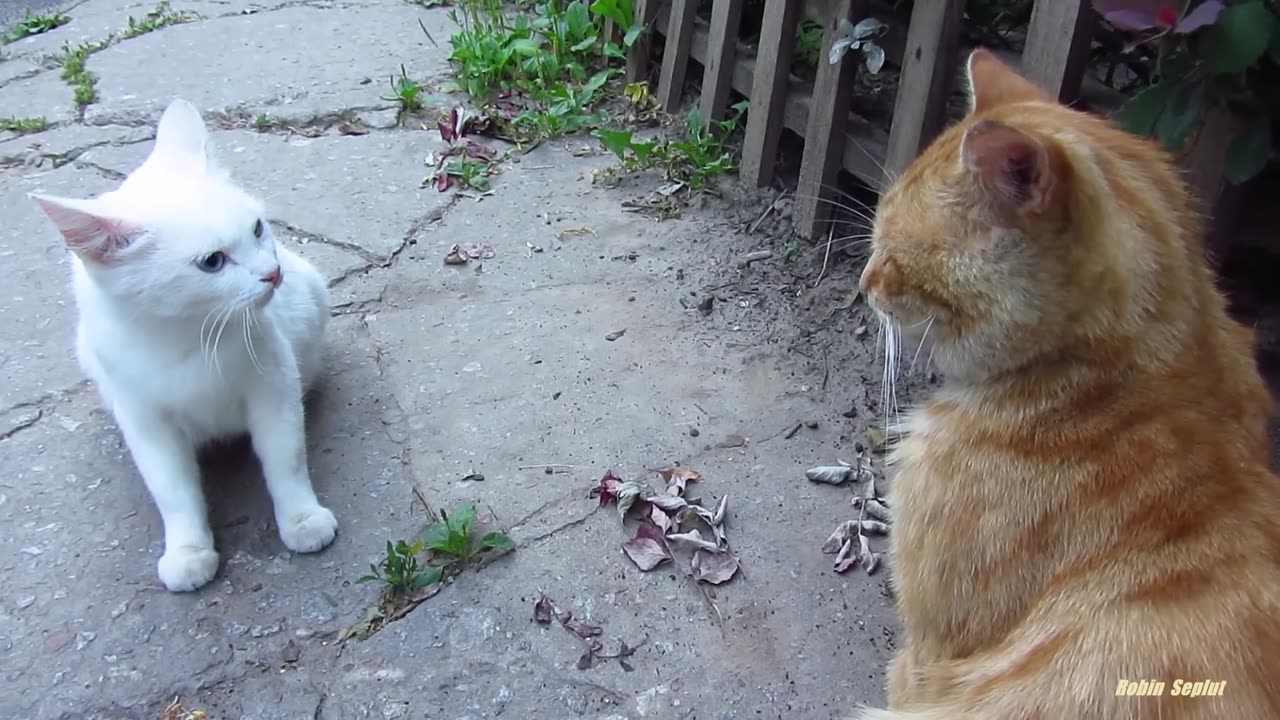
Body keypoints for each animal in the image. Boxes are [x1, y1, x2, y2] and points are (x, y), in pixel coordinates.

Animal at [31, 98, 337, 591]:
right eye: (212, 262)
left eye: (257, 228)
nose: (272, 274)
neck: (189, 336)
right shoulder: (145, 420)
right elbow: (173, 491)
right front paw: (188, 551)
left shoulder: (273, 386)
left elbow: (285, 457)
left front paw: (302, 518)